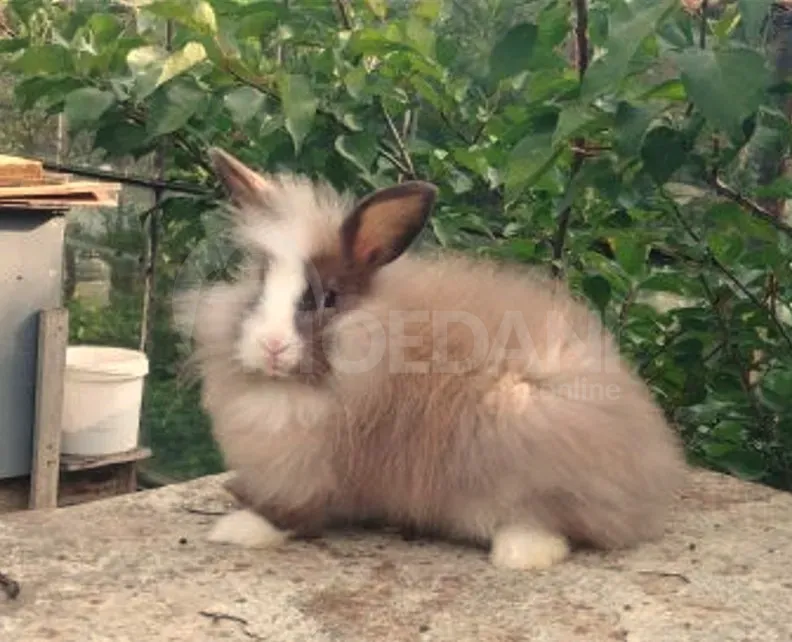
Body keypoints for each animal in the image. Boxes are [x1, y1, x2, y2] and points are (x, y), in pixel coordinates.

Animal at [172, 146, 688, 571]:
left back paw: (519, 553)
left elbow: (295, 513)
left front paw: (240, 529)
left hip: (523, 425)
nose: (271, 346)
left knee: (549, 521)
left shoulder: (311, 469)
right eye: (260, 286)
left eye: (329, 298)